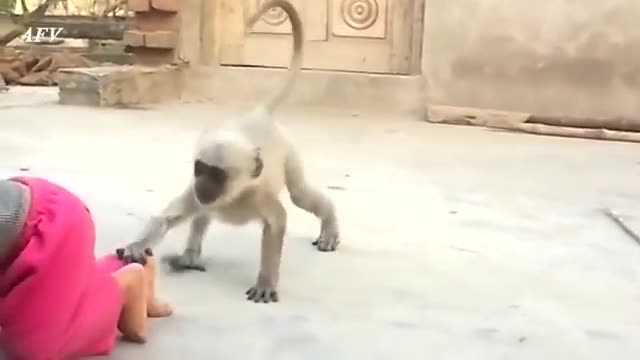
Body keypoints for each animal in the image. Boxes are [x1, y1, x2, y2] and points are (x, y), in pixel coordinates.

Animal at [119, 0, 340, 304]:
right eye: (200, 169)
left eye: (217, 175)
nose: (202, 183)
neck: (232, 197)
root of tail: (258, 115)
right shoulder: (198, 193)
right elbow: (168, 217)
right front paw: (137, 246)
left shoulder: (258, 194)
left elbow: (277, 222)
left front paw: (266, 281)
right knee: (202, 214)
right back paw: (190, 256)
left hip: (288, 150)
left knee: (299, 193)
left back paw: (329, 227)